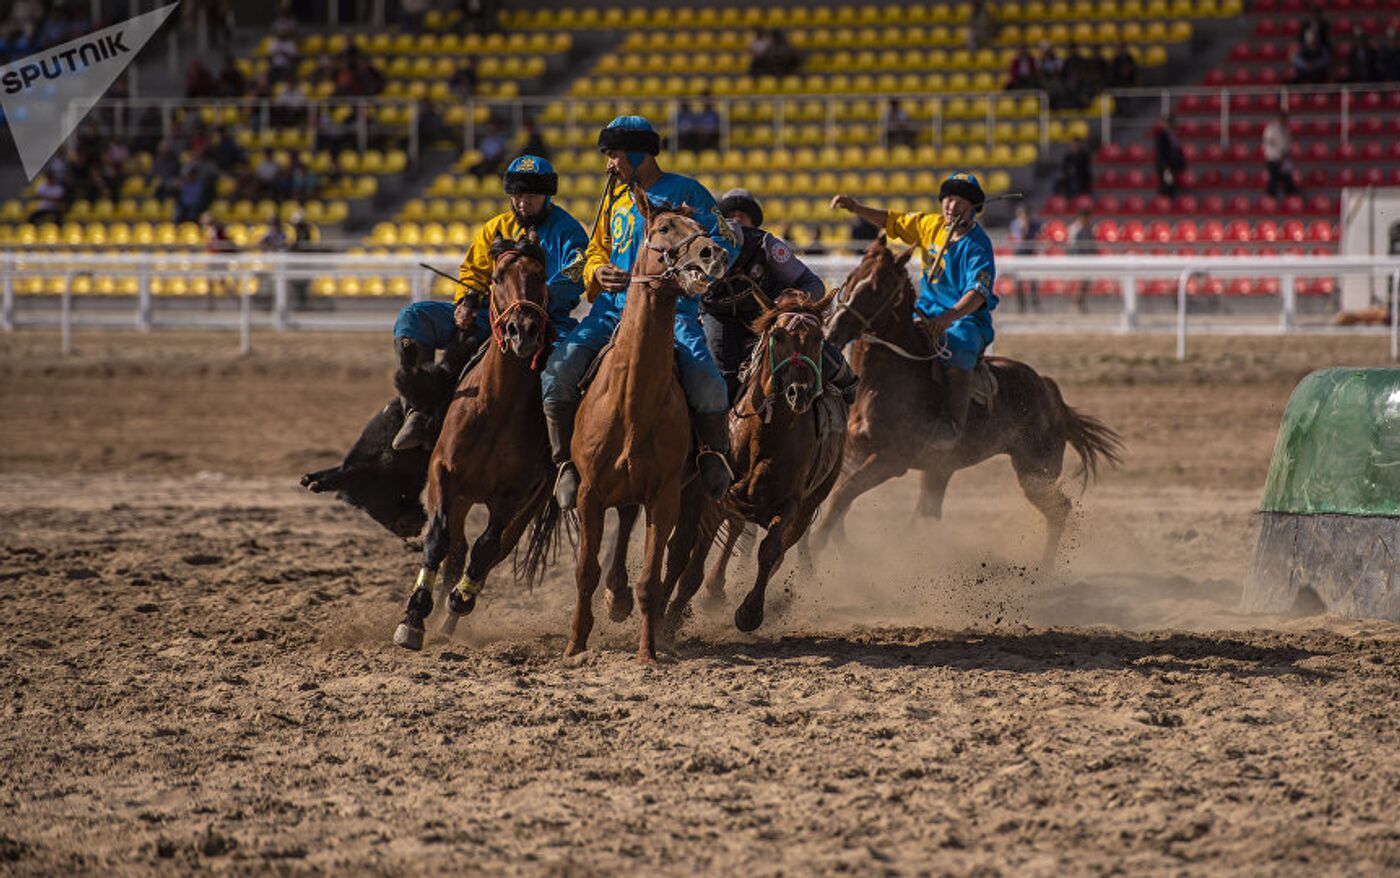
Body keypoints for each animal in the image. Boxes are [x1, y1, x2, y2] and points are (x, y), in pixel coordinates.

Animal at [394, 236, 557, 649]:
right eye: (497, 277)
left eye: (540, 275)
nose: (522, 331)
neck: (494, 407)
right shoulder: (443, 475)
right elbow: (437, 540)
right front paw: (413, 617)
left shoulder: (515, 496)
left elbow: (485, 549)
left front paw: (457, 602)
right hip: (463, 497)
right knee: (455, 551)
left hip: (521, 510)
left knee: (486, 556)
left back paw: (453, 615)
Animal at [663, 288, 845, 638]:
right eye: (778, 336)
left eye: (818, 337)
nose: (799, 393)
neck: (764, 436)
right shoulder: (715, 499)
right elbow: (695, 560)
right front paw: (675, 615)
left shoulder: (791, 505)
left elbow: (771, 551)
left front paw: (750, 611)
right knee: (727, 534)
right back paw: (709, 591)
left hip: (810, 503)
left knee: (778, 548)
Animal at [812, 235, 1125, 562]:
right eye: (851, 277)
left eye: (878, 288)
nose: (833, 330)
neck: (883, 381)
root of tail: (1048, 390)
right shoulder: (854, 453)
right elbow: (841, 497)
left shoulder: (891, 459)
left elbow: (844, 493)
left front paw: (817, 547)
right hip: (943, 470)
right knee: (927, 513)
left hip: (1035, 472)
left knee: (1059, 510)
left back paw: (1044, 568)